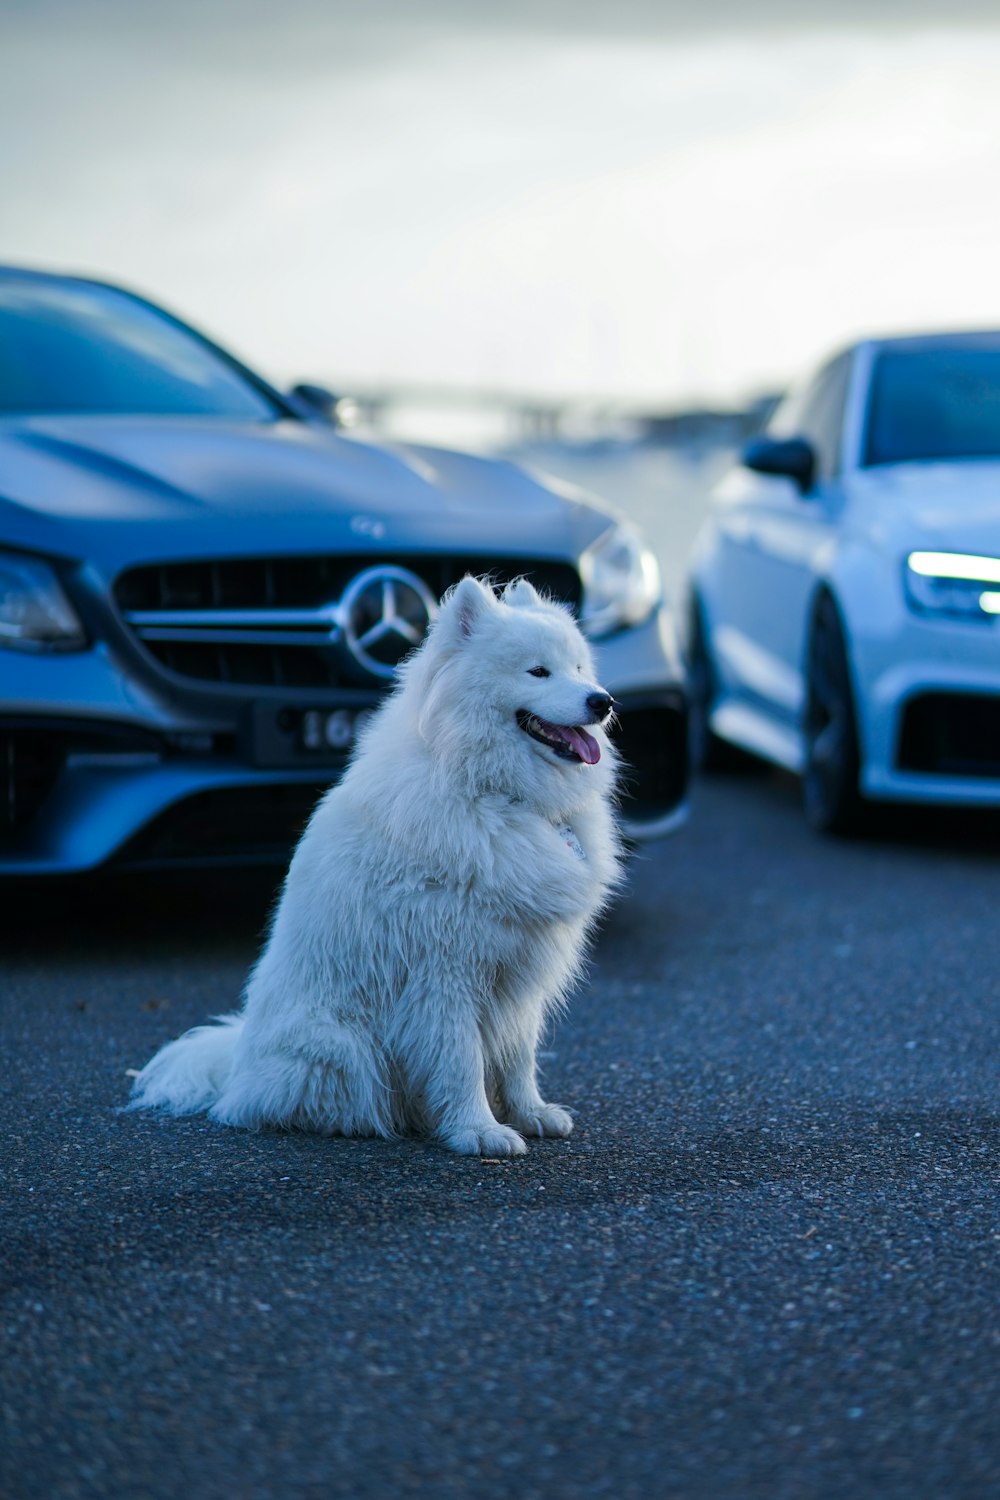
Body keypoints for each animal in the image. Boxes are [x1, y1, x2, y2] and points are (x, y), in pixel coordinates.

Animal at [130, 576, 620, 1158]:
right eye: (537, 671)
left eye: (580, 669)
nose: (603, 701)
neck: (495, 793)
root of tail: (237, 1065)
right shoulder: (445, 972)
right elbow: (461, 1060)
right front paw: (478, 1130)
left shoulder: (522, 972)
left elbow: (519, 1057)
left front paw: (531, 1113)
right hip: (341, 1044)